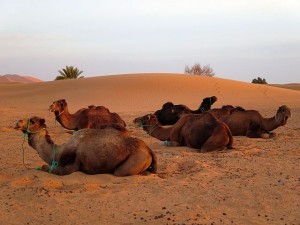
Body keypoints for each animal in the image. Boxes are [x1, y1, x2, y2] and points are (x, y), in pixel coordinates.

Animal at [15, 117, 158, 177]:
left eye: (32, 121)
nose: (18, 122)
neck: (58, 151)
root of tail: (148, 150)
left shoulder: (72, 165)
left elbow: (48, 168)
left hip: (136, 159)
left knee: (119, 172)